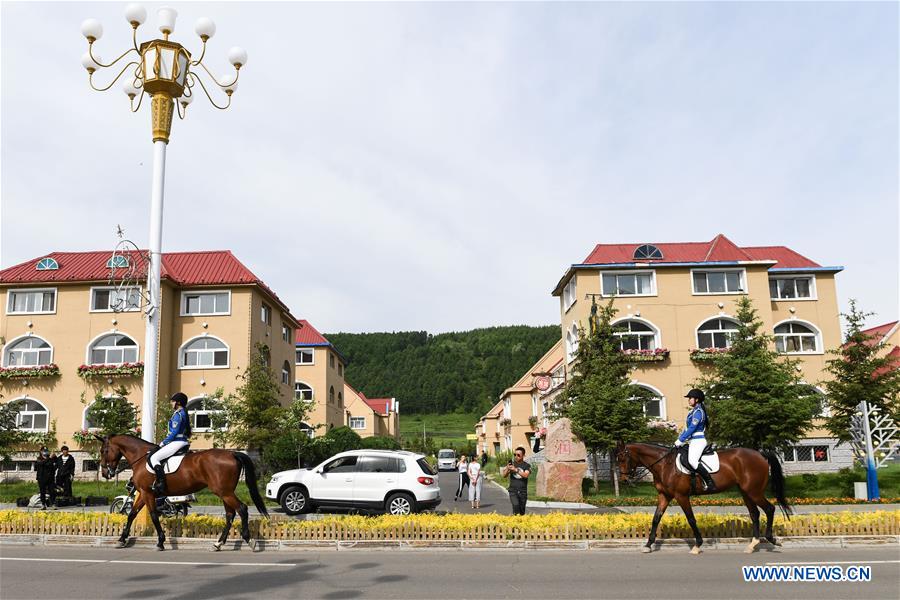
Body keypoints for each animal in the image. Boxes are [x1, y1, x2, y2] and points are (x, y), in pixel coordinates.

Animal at [98, 434, 268, 552]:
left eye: (104, 450)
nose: (105, 473)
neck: (140, 457)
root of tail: (232, 453)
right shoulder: (143, 494)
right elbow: (132, 514)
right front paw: (121, 539)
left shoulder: (147, 493)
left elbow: (153, 515)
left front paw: (160, 542)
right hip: (225, 493)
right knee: (230, 514)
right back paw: (218, 544)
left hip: (224, 492)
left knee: (242, 509)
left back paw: (249, 540)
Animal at [616, 440, 792, 552]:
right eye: (618, 459)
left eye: (624, 458)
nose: (624, 480)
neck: (665, 464)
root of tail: (760, 454)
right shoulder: (664, 496)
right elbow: (655, 519)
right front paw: (648, 545)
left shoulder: (681, 496)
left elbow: (691, 519)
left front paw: (698, 544)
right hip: (746, 492)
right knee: (754, 513)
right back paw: (753, 545)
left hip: (754, 491)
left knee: (769, 509)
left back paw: (771, 539)